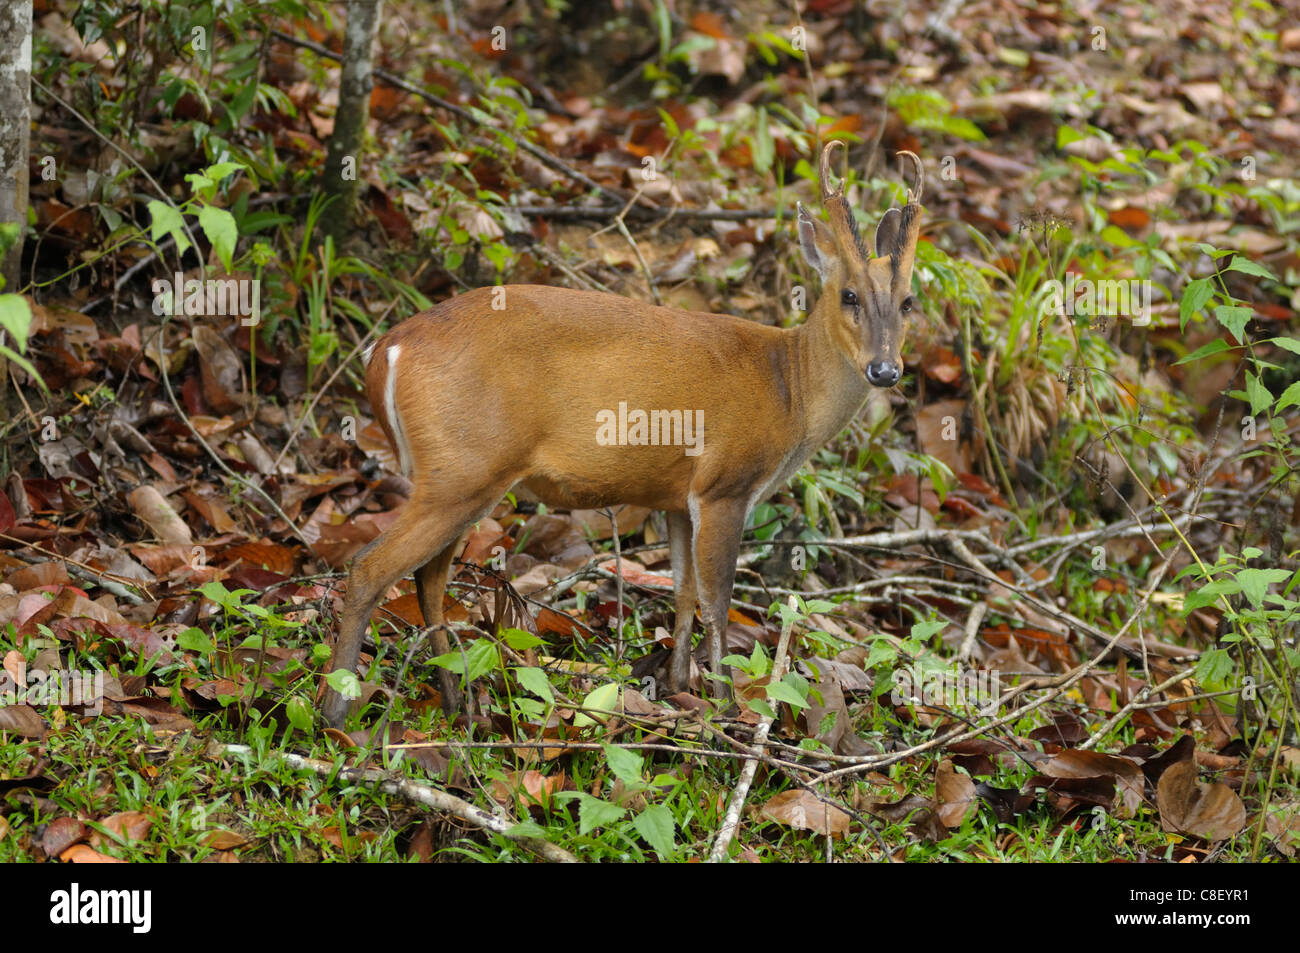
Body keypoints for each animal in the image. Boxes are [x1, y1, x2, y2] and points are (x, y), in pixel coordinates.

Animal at [321, 141, 924, 728]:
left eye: (908, 301)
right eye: (849, 295)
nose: (885, 370)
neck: (789, 389)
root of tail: (386, 350)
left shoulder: (679, 498)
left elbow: (683, 592)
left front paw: (680, 688)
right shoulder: (725, 483)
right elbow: (717, 599)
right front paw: (726, 707)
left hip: (459, 474)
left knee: (428, 578)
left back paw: (455, 705)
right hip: (466, 467)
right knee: (371, 566)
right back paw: (338, 712)